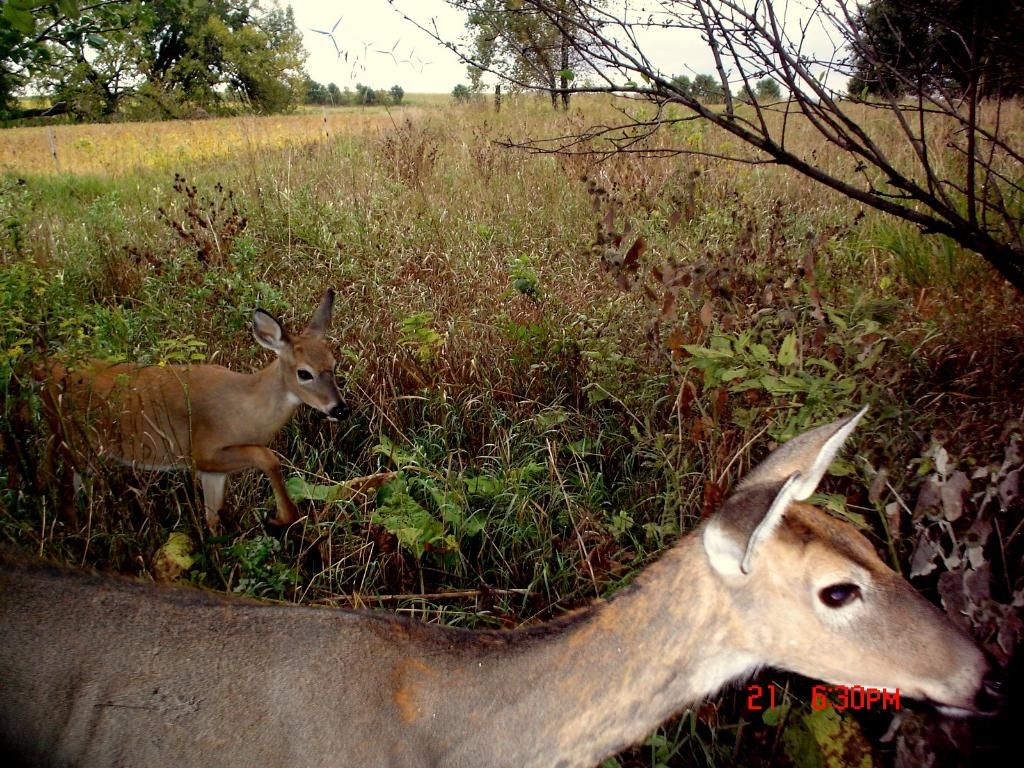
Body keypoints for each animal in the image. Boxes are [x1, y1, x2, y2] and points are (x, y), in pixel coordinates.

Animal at [40, 290, 348, 532]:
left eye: (334, 364)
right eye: (304, 373)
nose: (340, 409)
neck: (246, 409)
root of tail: (45, 369)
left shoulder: (212, 470)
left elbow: (212, 519)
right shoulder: (203, 451)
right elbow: (268, 456)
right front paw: (284, 516)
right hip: (75, 444)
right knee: (64, 497)